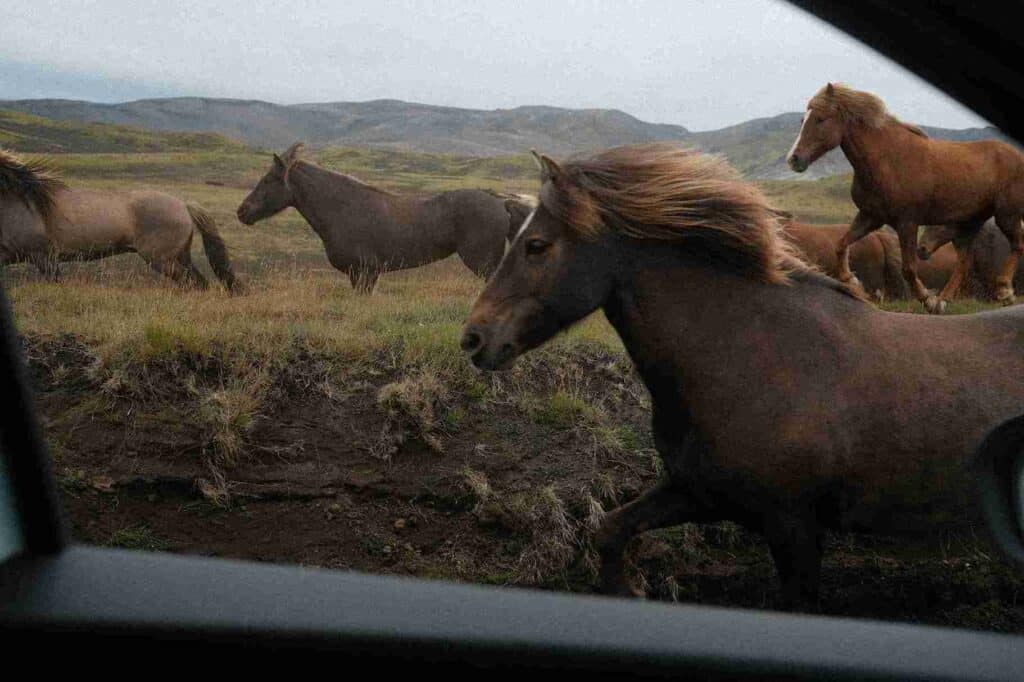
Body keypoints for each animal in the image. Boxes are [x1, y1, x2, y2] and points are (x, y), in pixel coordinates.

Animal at [0, 149, 236, 290]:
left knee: (191, 283)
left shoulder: (43, 257)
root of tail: (184, 206)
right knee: (199, 282)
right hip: (180, 256)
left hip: (161, 259)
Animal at [237, 143, 516, 292]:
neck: (342, 210)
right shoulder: (364, 275)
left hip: (482, 262)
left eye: (268, 180)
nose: (242, 211)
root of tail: (500, 201)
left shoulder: (364, 272)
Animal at [461, 143, 1024, 608]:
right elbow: (609, 531)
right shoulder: (696, 491)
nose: (473, 339)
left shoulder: (793, 528)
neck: (751, 357)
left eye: (536, 245)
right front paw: (631, 589)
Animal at [786, 83, 1024, 314]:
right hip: (968, 224)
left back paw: (1004, 290)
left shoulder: (907, 222)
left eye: (820, 119)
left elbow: (908, 268)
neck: (887, 160)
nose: (794, 159)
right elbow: (840, 244)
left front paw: (927, 299)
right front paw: (850, 279)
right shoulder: (870, 217)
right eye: (803, 120)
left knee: (1017, 245)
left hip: (1006, 216)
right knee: (964, 262)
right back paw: (943, 300)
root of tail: (1017, 156)